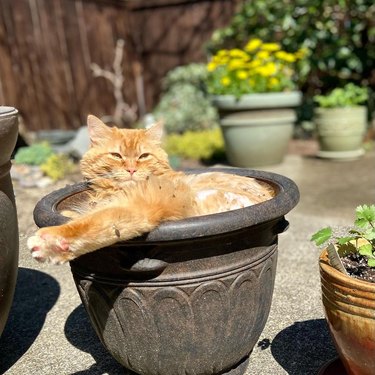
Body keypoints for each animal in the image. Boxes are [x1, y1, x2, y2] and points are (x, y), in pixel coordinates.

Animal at [26, 115, 274, 264]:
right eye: (117, 155)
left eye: (143, 156)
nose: (131, 169)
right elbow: (80, 214)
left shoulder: (138, 206)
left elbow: (90, 224)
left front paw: (50, 242)